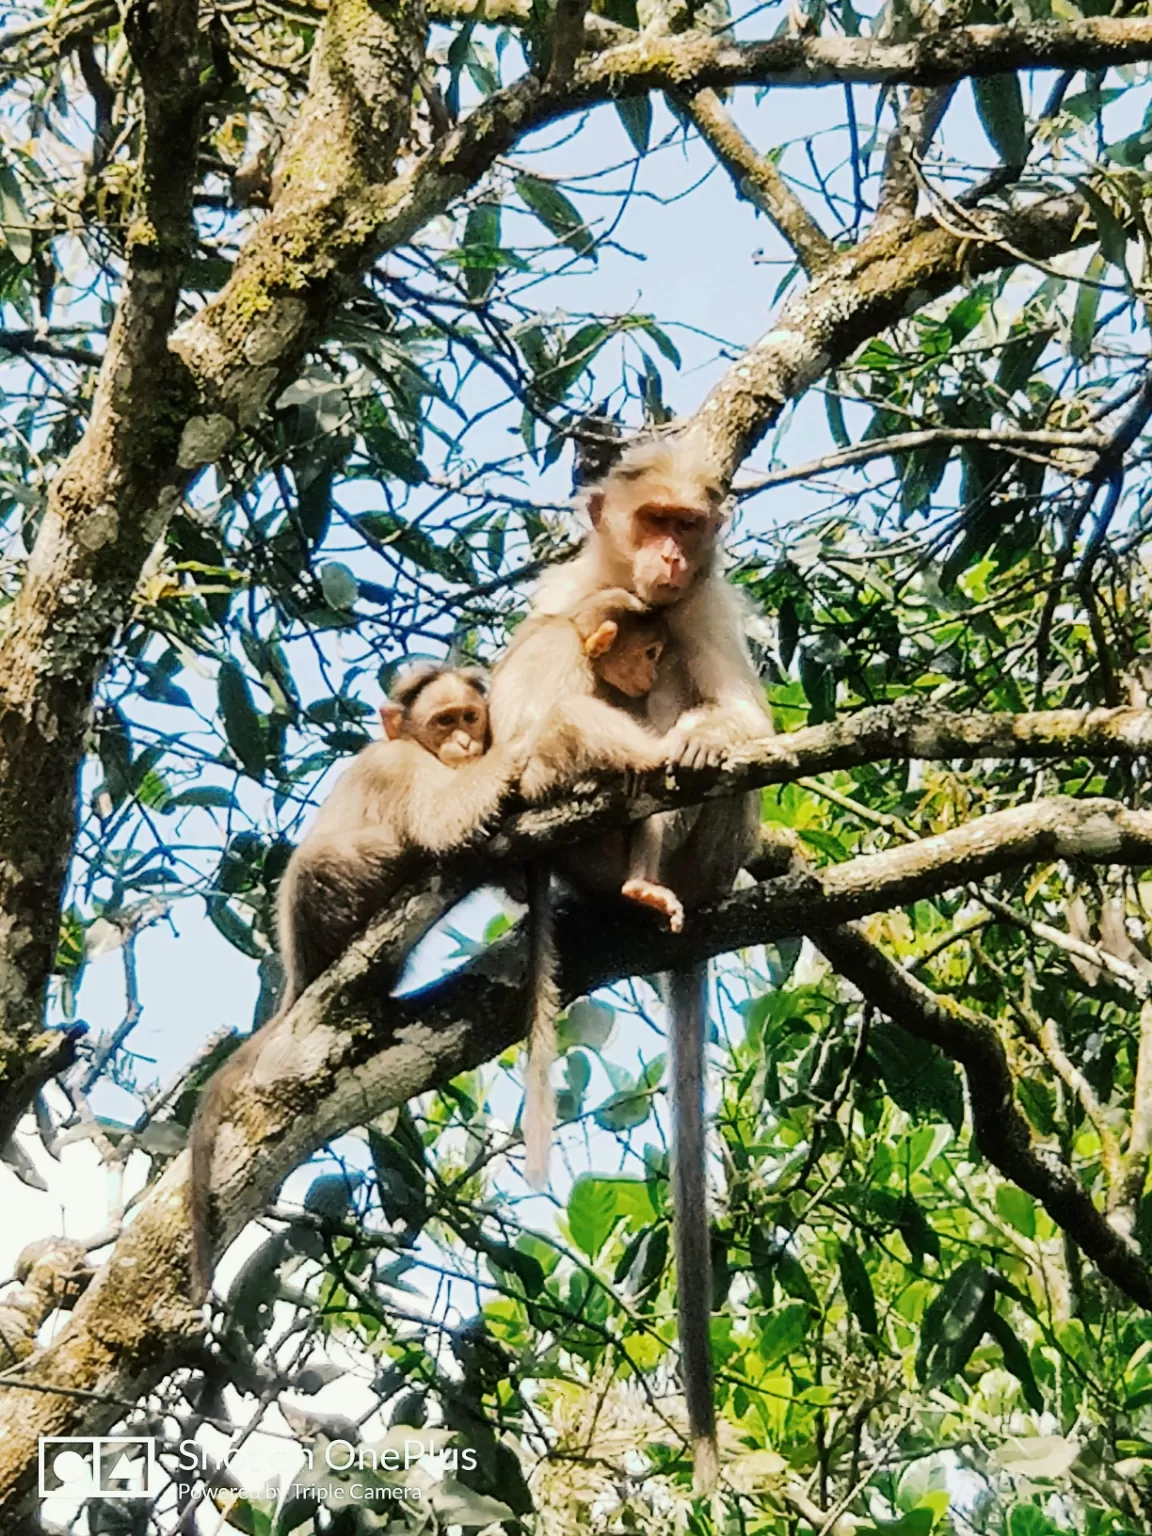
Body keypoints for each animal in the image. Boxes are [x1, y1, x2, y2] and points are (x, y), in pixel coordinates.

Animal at [188, 666, 503, 1302]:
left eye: (468, 717)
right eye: (443, 722)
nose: (464, 743)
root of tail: (300, 972)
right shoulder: (400, 765)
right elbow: (449, 820)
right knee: (338, 860)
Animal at [488, 586, 685, 1185]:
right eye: (649, 653)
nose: (651, 675)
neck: (573, 633)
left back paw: (640, 888)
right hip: (546, 785)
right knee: (571, 718)